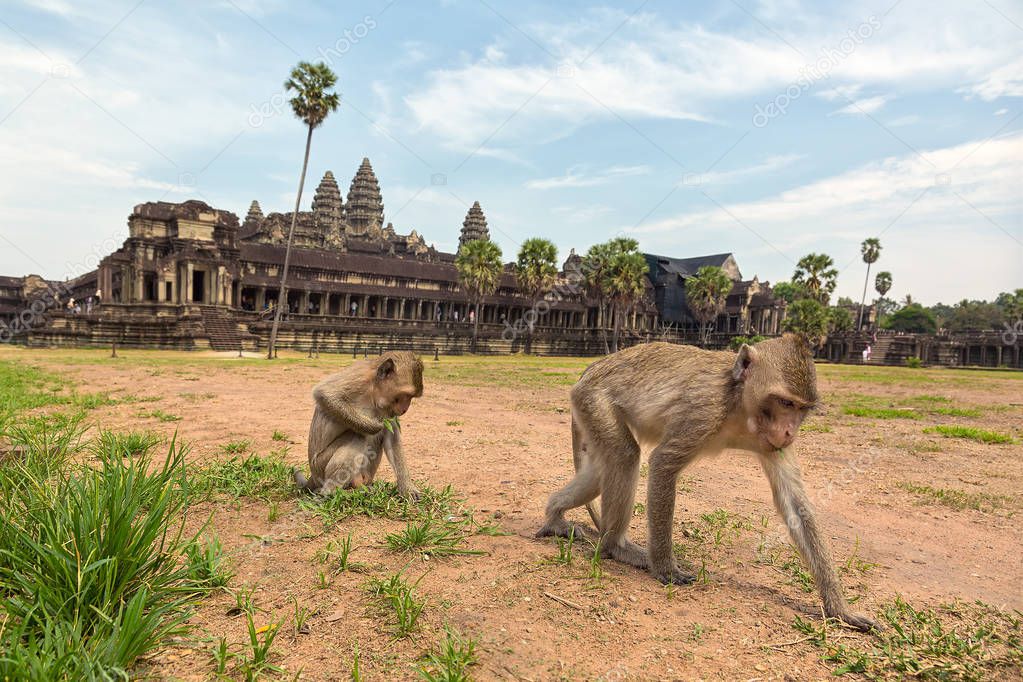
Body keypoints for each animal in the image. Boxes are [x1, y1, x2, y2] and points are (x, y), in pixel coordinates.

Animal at [296, 351, 423, 496]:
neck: (373, 391)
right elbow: (324, 393)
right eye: (405, 396)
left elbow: (391, 435)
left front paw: (407, 488)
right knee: (357, 436)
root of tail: (313, 476)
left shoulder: (388, 410)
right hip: (319, 466)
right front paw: (373, 426)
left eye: (411, 397)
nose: (405, 409)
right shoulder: (359, 378)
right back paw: (330, 492)